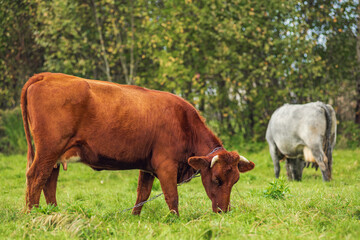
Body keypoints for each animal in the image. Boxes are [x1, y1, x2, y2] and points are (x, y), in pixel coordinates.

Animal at [21, 72, 255, 215]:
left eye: (234, 181)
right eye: (216, 179)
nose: (223, 211)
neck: (183, 122)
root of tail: (47, 75)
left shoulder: (148, 166)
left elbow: (142, 195)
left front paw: (134, 217)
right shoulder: (165, 165)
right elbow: (172, 196)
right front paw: (175, 219)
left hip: (55, 154)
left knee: (48, 182)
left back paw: (53, 213)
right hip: (48, 150)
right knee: (36, 177)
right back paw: (32, 214)